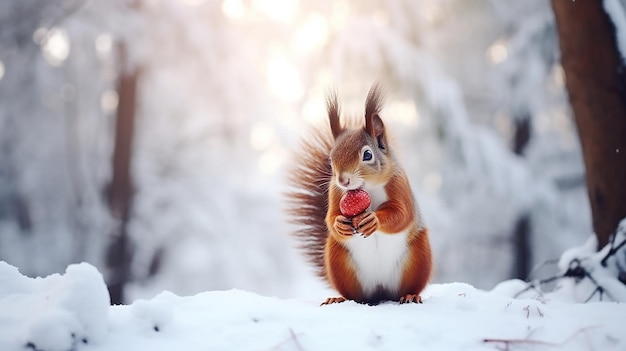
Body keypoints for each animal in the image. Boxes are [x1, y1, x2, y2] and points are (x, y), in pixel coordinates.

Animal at [286, 84, 428, 306]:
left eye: (367, 155)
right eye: (331, 158)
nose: (343, 180)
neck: (367, 186)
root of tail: (381, 292)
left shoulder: (399, 184)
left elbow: (402, 213)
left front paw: (373, 220)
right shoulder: (335, 192)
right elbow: (331, 216)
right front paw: (339, 224)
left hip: (418, 258)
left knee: (408, 287)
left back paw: (411, 295)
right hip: (339, 260)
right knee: (355, 296)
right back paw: (338, 298)